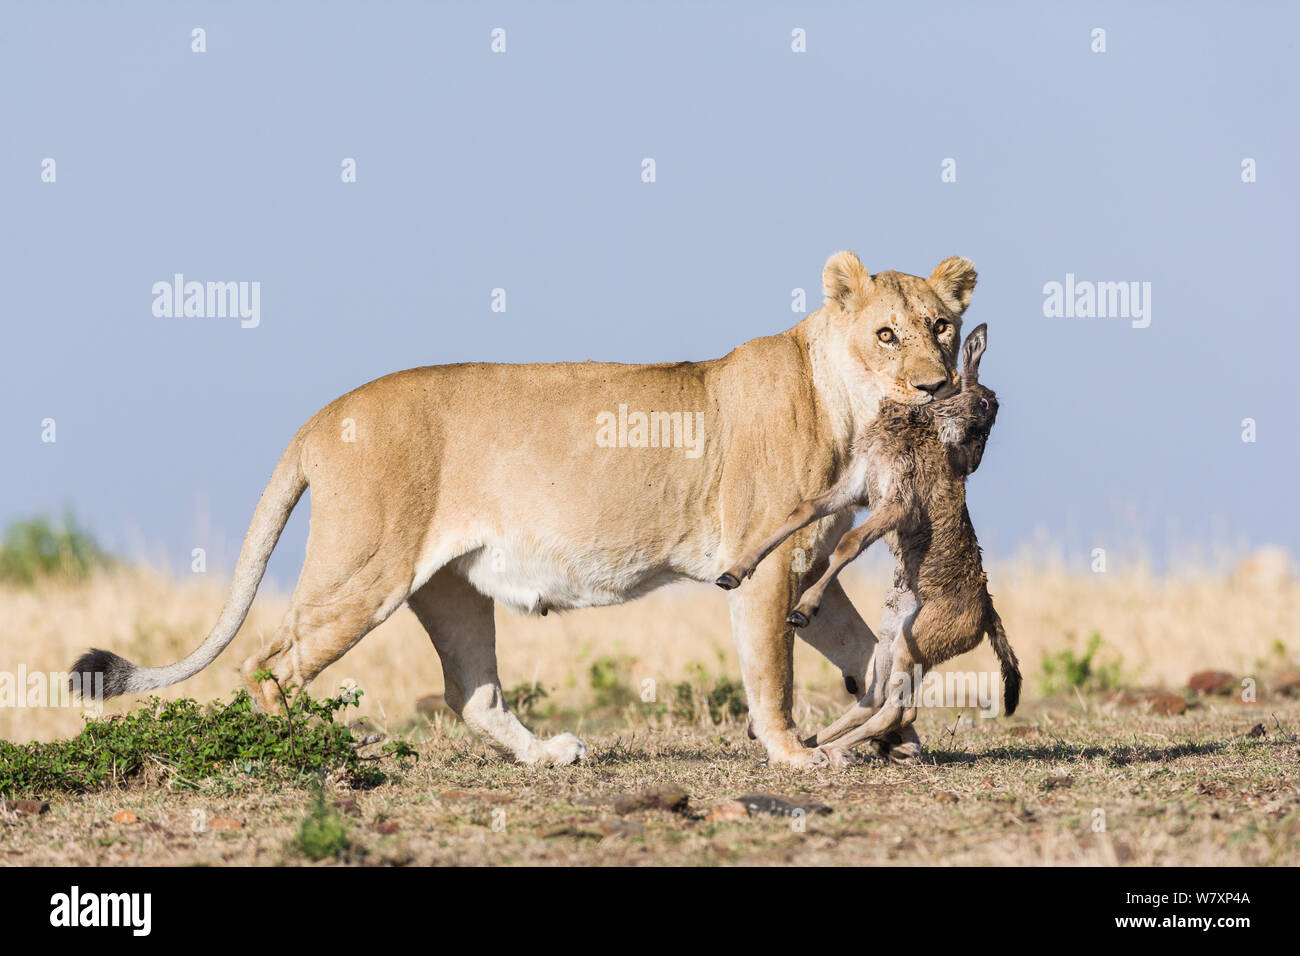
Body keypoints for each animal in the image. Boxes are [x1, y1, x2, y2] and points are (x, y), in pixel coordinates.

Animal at [71, 251, 977, 768]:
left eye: (942, 325)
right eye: (887, 334)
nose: (938, 387)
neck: (849, 407)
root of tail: (321, 417)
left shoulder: (805, 564)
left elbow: (867, 653)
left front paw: (896, 732)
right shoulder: (758, 564)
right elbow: (772, 675)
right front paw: (796, 756)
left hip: (449, 588)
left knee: (472, 694)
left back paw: (548, 756)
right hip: (363, 573)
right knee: (269, 665)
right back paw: (310, 751)